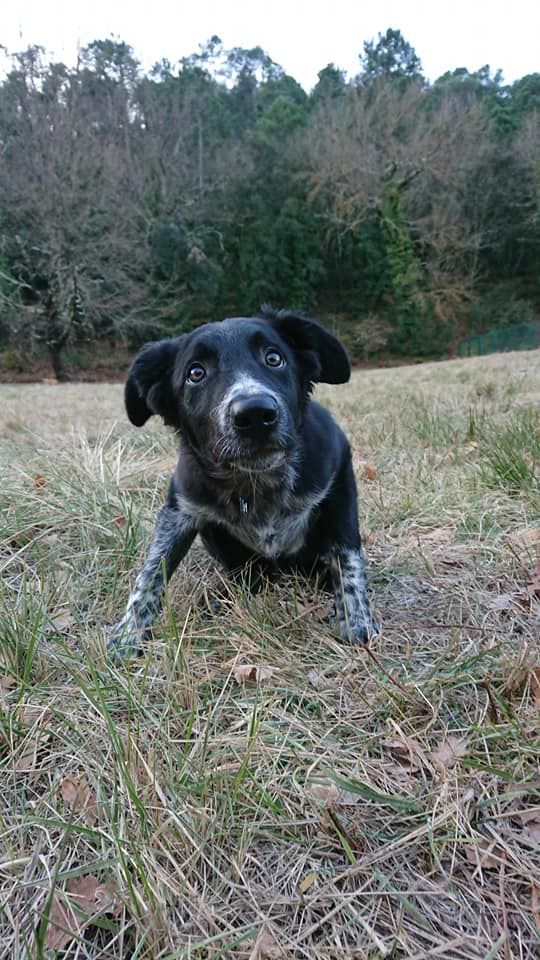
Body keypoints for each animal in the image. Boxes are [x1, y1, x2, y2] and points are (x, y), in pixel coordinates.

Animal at [108, 306, 380, 652]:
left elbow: (347, 554)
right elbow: (151, 571)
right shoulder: (180, 508)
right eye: (195, 373)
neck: (256, 480)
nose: (255, 414)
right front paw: (127, 635)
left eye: (274, 358)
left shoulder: (339, 474)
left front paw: (356, 620)